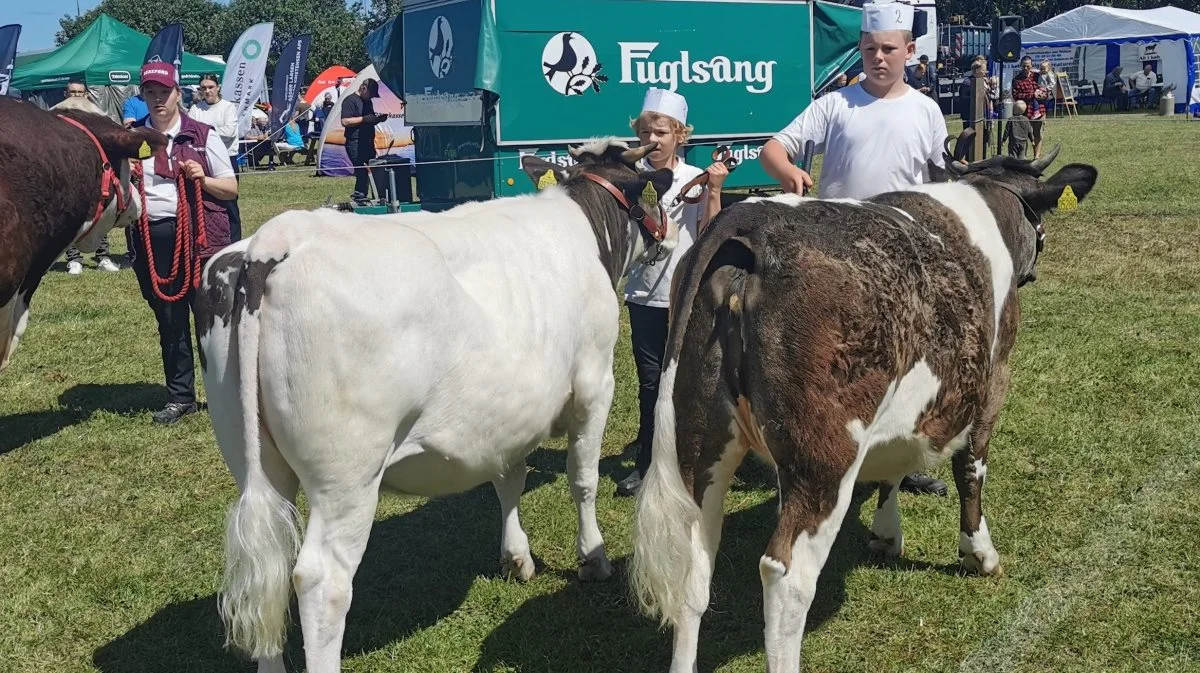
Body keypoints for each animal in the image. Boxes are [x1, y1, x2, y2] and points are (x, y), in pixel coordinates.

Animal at [201, 139, 681, 667]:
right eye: (659, 189)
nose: (675, 235)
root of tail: (275, 239)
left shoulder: (508, 412)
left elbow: (509, 479)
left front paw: (516, 556)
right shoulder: (595, 383)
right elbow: (584, 480)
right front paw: (593, 558)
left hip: (253, 456)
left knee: (271, 565)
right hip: (347, 474)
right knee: (321, 581)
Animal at [633, 148, 1094, 671]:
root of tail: (752, 218)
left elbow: (892, 468)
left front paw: (886, 532)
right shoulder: (993, 380)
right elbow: (971, 471)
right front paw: (979, 553)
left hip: (698, 438)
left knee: (691, 566)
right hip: (825, 457)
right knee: (785, 576)